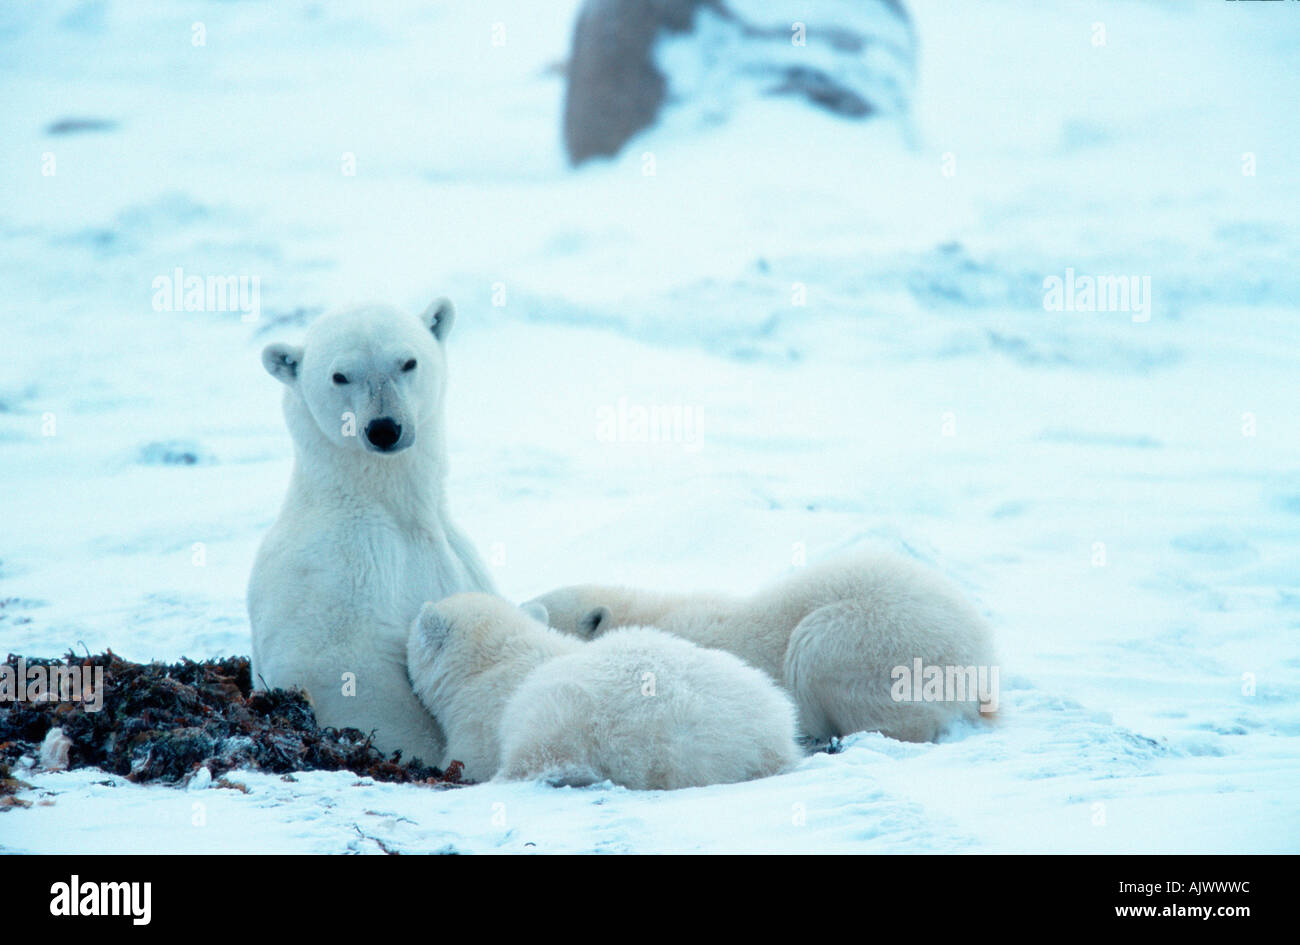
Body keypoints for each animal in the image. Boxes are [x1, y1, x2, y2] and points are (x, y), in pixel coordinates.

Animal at [245, 298, 493, 764]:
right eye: (340, 375)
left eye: (408, 362)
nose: (384, 428)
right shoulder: (339, 568)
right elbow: (351, 671)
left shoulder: (456, 558)